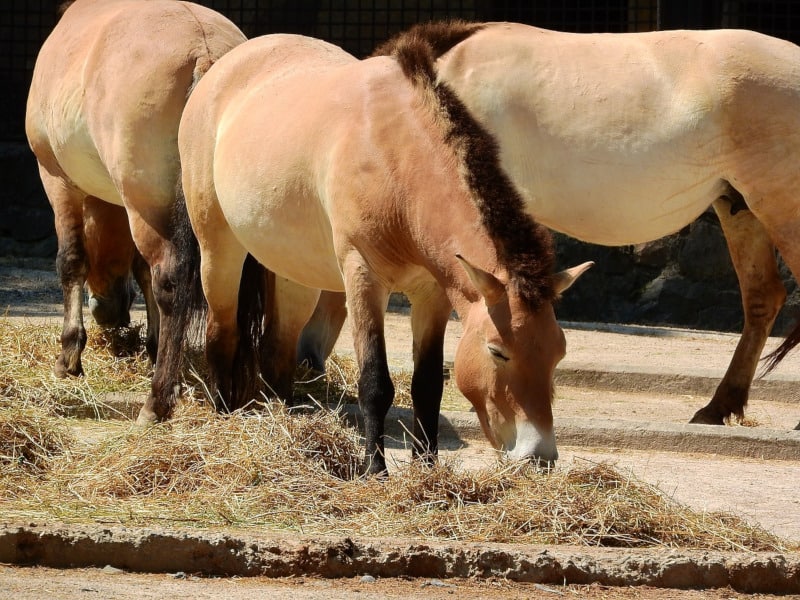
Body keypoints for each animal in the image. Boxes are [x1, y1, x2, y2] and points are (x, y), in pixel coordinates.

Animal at [25, 0, 245, 422]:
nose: (108, 312)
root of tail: (206, 49)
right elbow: (142, 272)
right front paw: (154, 350)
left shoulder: (56, 179)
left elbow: (72, 260)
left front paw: (69, 357)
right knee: (216, 288)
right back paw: (223, 397)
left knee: (170, 283)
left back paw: (156, 402)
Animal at [178, 34, 592, 474]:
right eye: (498, 351)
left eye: (559, 352)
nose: (539, 456)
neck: (394, 155)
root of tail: (221, 69)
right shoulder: (363, 278)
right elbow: (375, 382)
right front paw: (374, 470)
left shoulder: (431, 294)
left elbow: (427, 385)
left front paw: (426, 468)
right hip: (219, 249)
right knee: (222, 333)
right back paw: (224, 417)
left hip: (295, 273)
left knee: (276, 352)